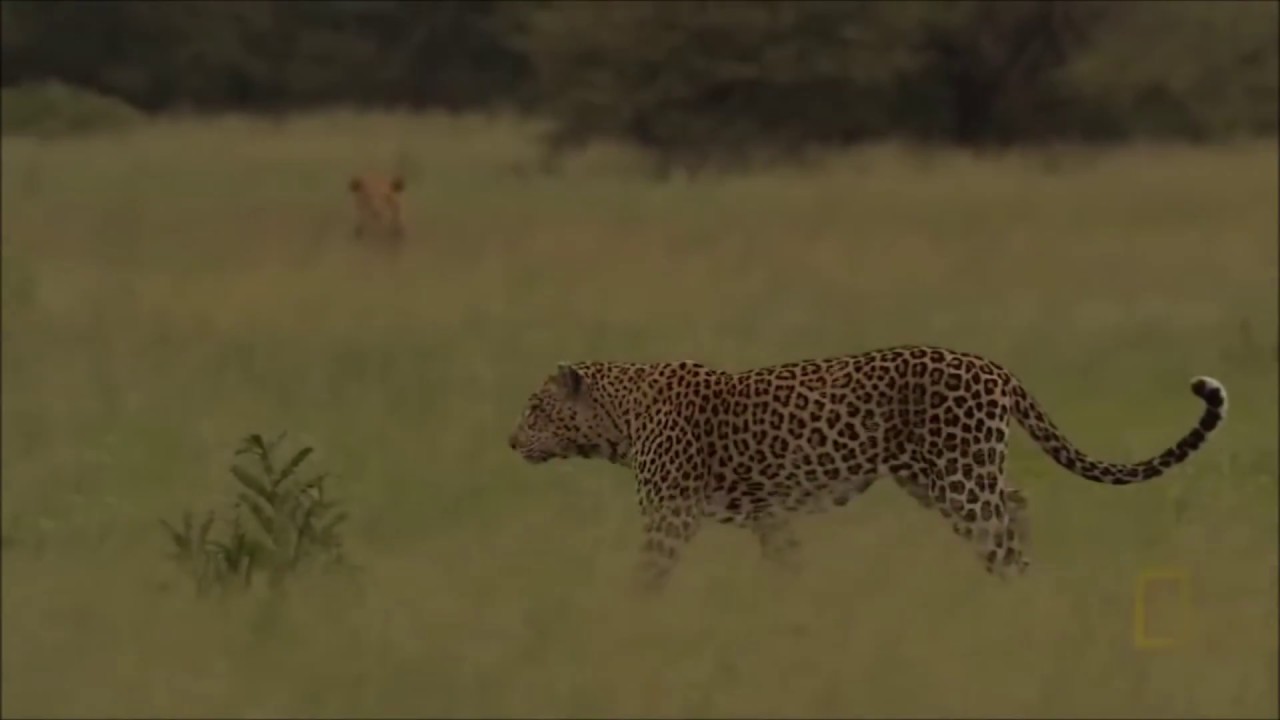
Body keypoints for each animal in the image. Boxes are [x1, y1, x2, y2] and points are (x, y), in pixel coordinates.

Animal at [506, 345, 1227, 592]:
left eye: (536, 407)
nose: (511, 442)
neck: (620, 418)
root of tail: (992, 366)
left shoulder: (669, 515)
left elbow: (647, 575)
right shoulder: (768, 515)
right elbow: (788, 565)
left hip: (959, 478)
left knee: (1001, 534)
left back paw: (1015, 592)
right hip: (941, 478)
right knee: (1017, 503)